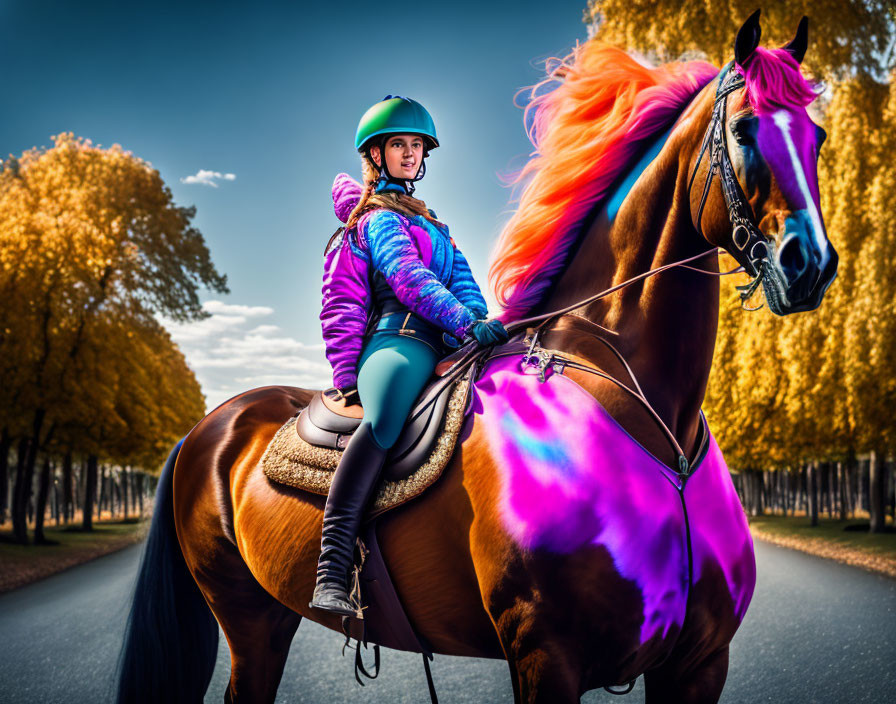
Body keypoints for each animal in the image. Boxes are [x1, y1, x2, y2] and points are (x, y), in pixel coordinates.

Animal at [115, 11, 836, 704]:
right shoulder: (545, 656)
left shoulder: (698, 665)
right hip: (247, 615)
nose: (812, 264)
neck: (659, 427)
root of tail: (213, 424)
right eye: (743, 131)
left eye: (818, 138)